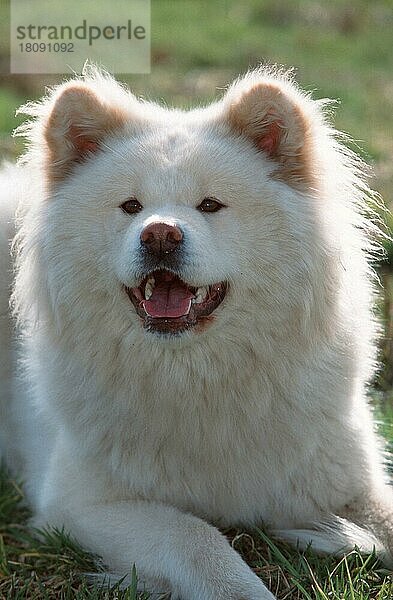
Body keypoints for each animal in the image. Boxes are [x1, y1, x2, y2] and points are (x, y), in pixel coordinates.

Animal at [0, 67, 390, 600]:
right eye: (130, 206)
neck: (196, 375)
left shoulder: (350, 482)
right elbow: (195, 537)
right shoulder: (83, 505)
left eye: (210, 205)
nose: (160, 234)